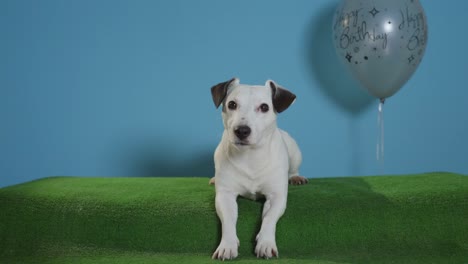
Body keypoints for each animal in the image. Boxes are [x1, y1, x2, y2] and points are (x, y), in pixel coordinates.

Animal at [209, 78, 308, 260]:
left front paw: (266, 243)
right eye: (232, 104)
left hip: (295, 151)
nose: (241, 130)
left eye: (264, 107)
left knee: (294, 168)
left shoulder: (276, 197)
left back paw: (295, 177)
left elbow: (269, 218)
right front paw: (227, 245)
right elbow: (228, 220)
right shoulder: (225, 196)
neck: (250, 157)